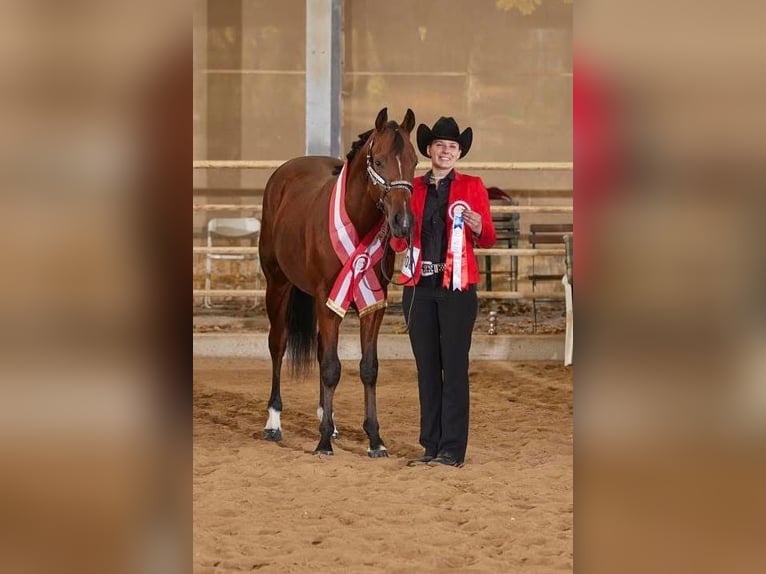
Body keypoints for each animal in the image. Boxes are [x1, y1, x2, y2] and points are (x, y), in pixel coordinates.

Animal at [258, 107, 417, 457]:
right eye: (379, 161)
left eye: (414, 161)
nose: (402, 222)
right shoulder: (326, 302)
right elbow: (332, 367)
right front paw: (321, 444)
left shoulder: (372, 305)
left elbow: (367, 368)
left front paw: (374, 440)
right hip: (277, 285)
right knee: (278, 344)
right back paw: (274, 422)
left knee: (319, 350)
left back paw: (326, 421)